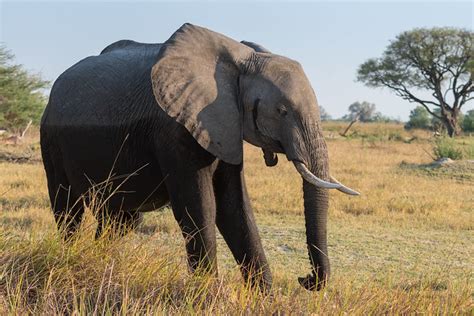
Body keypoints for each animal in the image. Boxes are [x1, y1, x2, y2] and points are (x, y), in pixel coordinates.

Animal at [40, 23, 360, 292]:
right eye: (281, 111)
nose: (305, 279)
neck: (242, 59)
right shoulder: (175, 128)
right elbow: (199, 206)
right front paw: (207, 297)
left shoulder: (224, 124)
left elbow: (234, 207)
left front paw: (265, 299)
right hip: (50, 137)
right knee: (68, 208)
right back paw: (71, 257)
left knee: (120, 218)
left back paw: (103, 264)